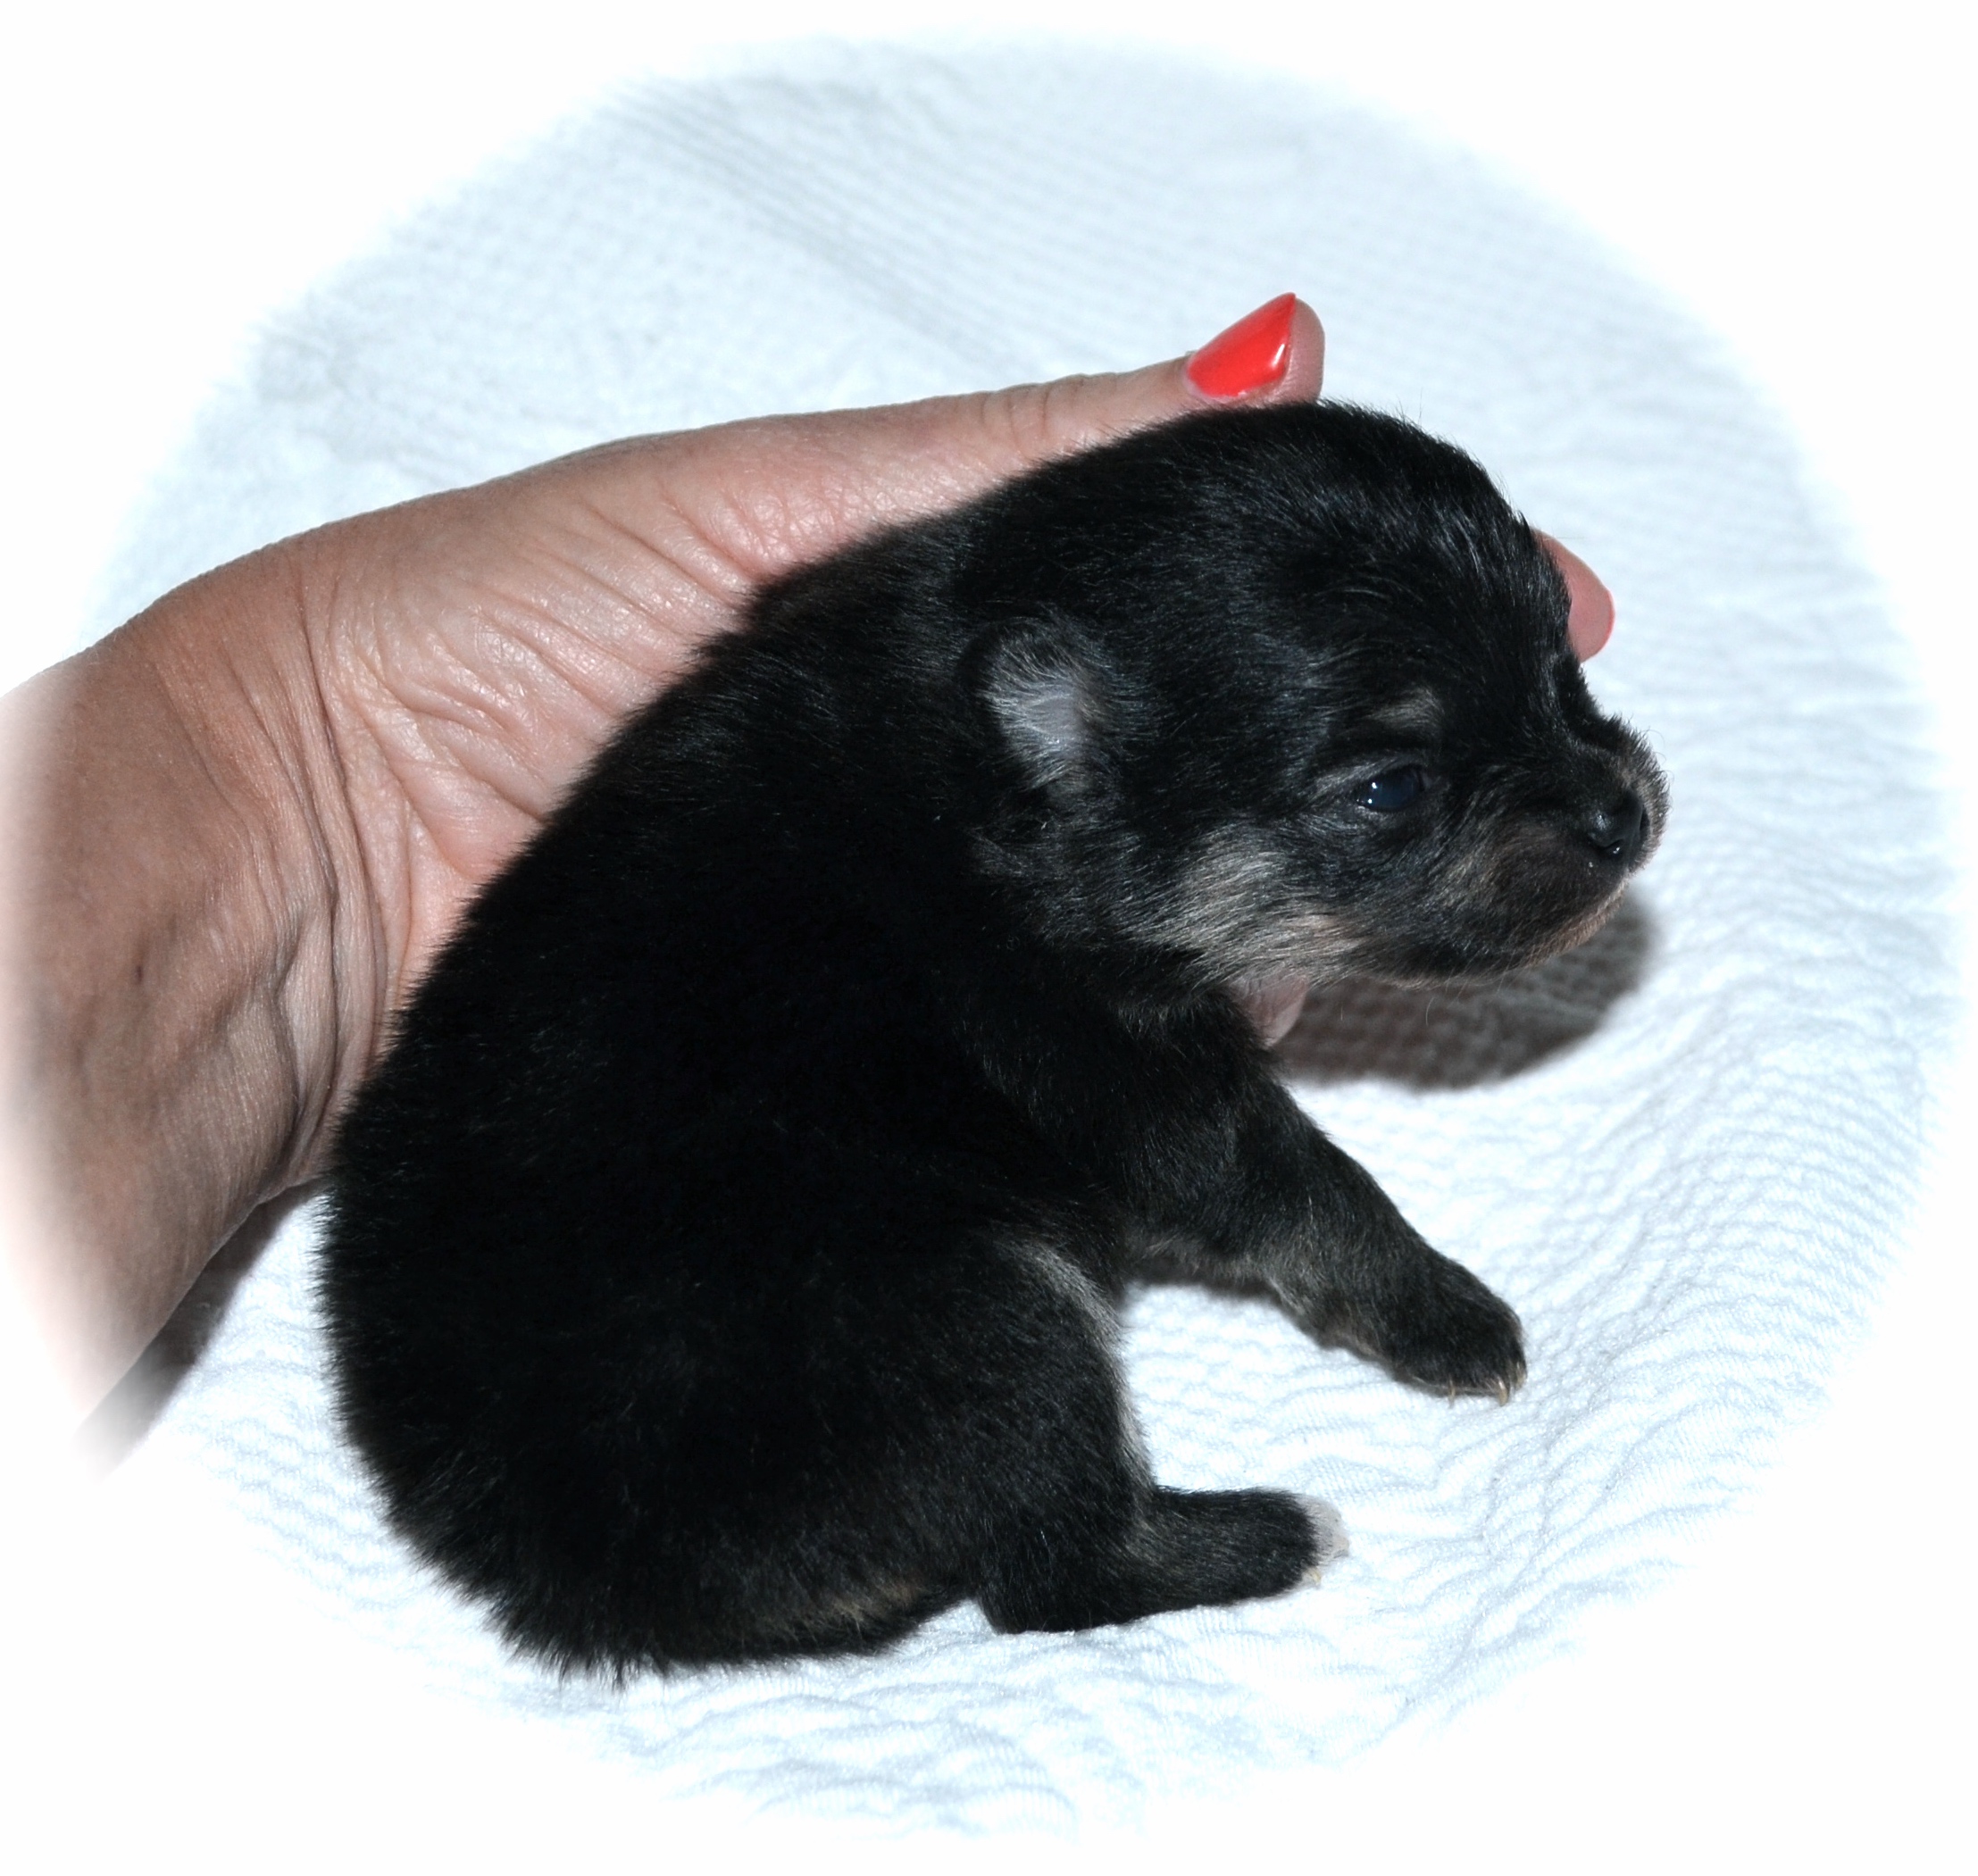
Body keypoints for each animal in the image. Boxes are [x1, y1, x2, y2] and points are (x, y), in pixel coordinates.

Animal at [322, 402, 1666, 1675]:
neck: (996, 793)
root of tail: (575, 1582)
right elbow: (1303, 1185)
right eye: (1392, 790)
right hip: (987, 1322)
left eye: (1560, 670)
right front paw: (1445, 1311)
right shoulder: (1122, 1067)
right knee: (1060, 1568)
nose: (1625, 812)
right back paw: (1281, 1530)